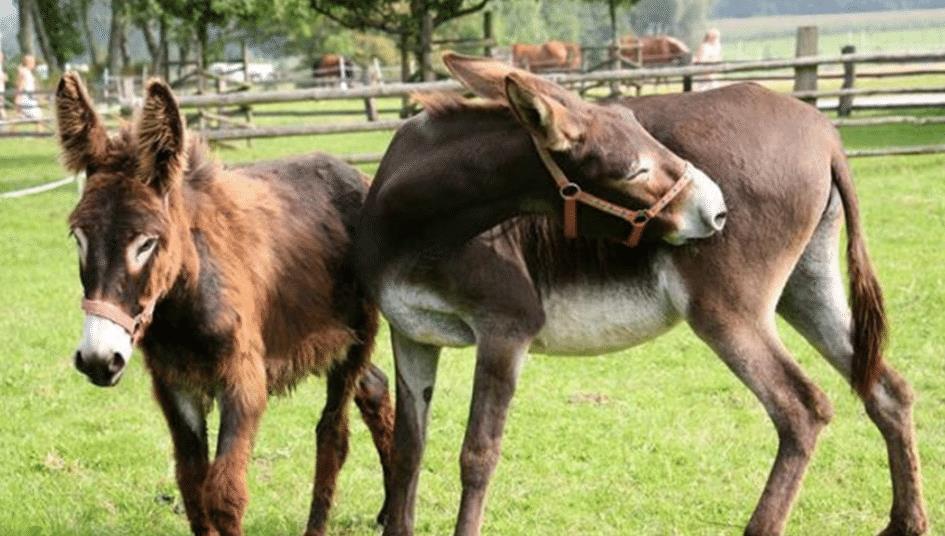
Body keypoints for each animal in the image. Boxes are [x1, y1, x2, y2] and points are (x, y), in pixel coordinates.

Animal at [58, 74, 390, 536]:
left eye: (146, 243)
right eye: (78, 237)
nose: (98, 359)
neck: (181, 305)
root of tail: (354, 172)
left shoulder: (244, 379)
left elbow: (224, 493)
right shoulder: (173, 383)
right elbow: (191, 484)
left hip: (357, 335)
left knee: (333, 434)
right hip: (329, 338)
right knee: (376, 387)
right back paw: (390, 509)